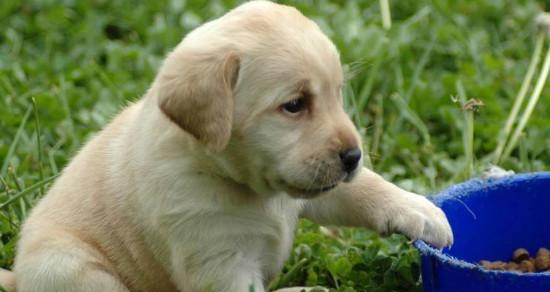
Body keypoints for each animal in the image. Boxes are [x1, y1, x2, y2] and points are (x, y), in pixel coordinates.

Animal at [2, 1, 454, 290]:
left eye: (337, 94)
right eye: (294, 105)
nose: (353, 156)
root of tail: (18, 278)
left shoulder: (312, 189)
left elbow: (362, 189)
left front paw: (420, 211)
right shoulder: (219, 263)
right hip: (71, 266)